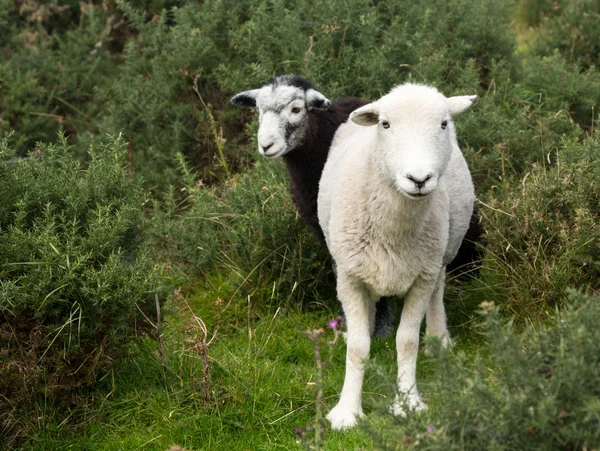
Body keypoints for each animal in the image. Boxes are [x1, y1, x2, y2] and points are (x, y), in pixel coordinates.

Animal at [316, 82, 476, 430]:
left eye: (443, 124)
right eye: (385, 125)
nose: (419, 179)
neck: (394, 229)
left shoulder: (422, 277)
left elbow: (407, 341)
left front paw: (408, 403)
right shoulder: (349, 276)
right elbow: (358, 347)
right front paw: (347, 411)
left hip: (444, 249)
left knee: (439, 290)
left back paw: (439, 338)